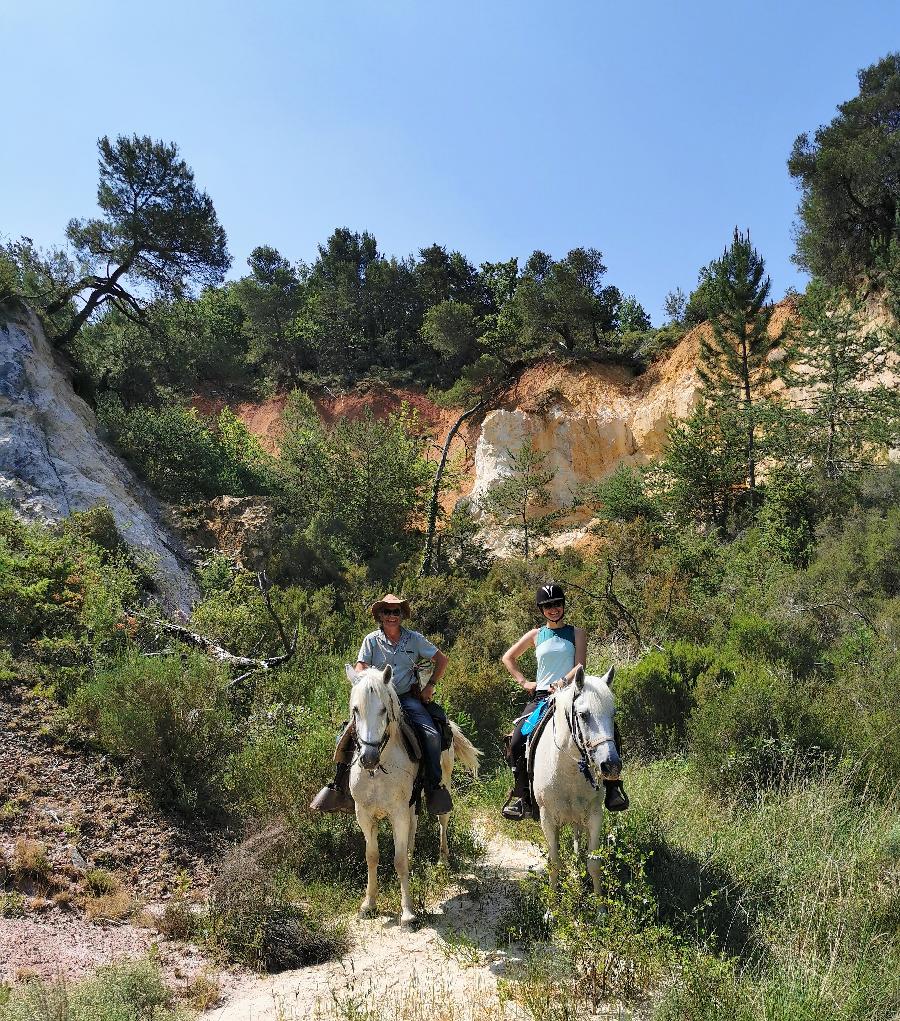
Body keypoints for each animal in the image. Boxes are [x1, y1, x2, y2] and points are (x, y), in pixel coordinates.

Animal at [343, 661, 480, 927]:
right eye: (356, 710)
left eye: (384, 709)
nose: (368, 758)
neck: (379, 769)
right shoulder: (364, 815)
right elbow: (372, 856)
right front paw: (368, 904)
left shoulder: (397, 813)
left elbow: (398, 861)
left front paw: (407, 912)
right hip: (410, 802)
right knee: (414, 824)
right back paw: (412, 854)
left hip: (443, 782)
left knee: (442, 821)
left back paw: (442, 860)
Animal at [531, 661, 621, 894]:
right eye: (583, 715)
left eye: (613, 714)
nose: (611, 766)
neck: (569, 772)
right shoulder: (547, 819)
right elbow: (554, 864)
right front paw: (552, 903)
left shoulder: (595, 816)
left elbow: (594, 864)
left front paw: (599, 903)